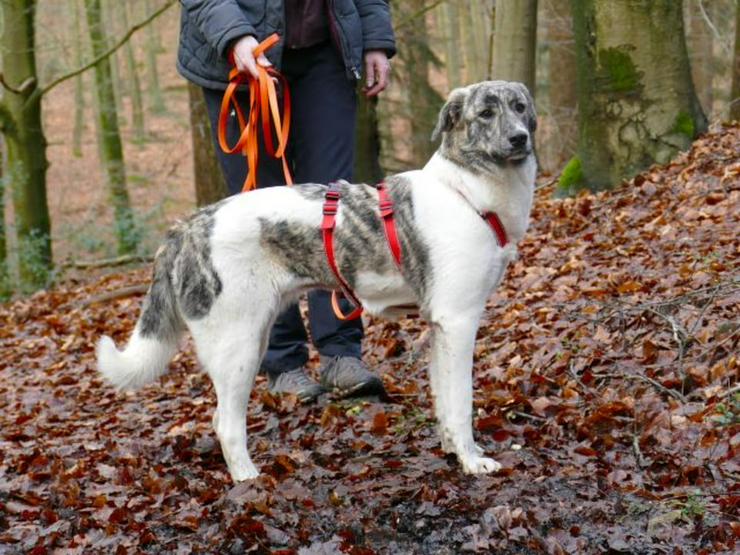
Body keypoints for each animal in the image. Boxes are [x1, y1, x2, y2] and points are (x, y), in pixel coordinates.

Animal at [98, 80, 536, 484]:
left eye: (519, 106)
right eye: (485, 114)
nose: (520, 137)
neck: (466, 191)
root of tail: (189, 225)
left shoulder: (440, 327)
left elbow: (444, 400)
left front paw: (452, 450)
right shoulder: (459, 322)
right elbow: (461, 403)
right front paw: (473, 462)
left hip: (254, 336)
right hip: (238, 347)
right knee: (226, 424)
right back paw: (249, 481)